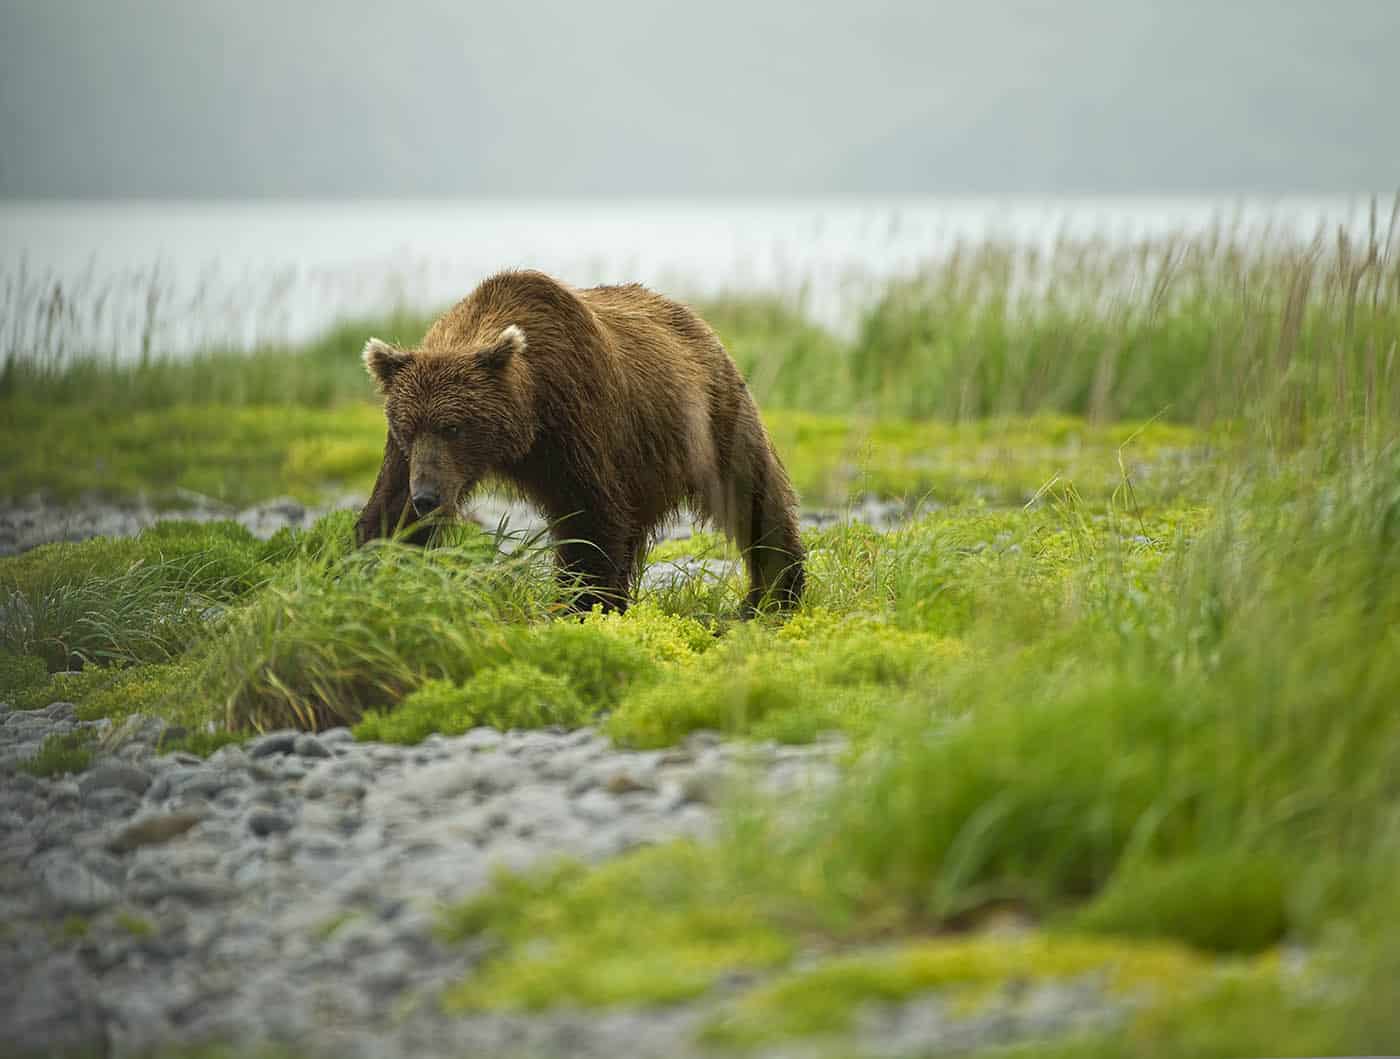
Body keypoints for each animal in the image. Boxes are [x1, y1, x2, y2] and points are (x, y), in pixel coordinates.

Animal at [355, 268, 806, 616]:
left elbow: (590, 518)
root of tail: (693, 319)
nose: (427, 497)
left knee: (753, 496)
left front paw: (581, 605)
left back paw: (773, 595)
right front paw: (380, 574)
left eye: (454, 428)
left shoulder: (576, 418)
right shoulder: (406, 454)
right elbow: (390, 512)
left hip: (713, 416)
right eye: (408, 428)